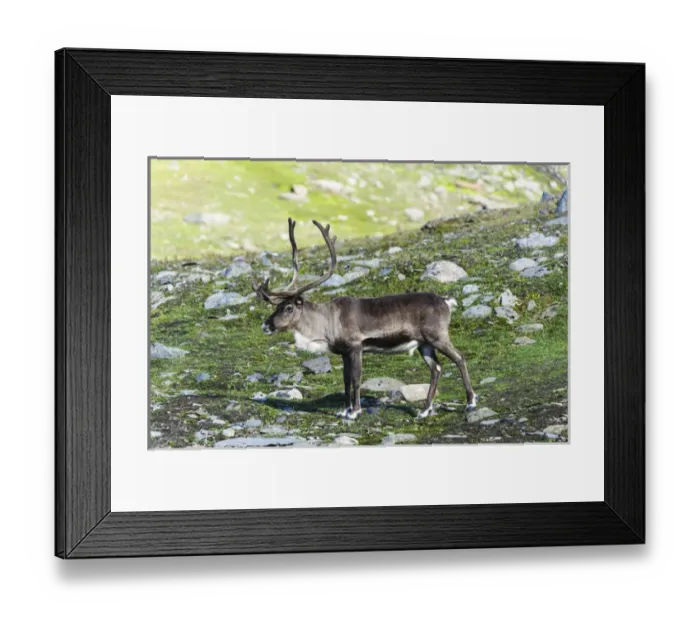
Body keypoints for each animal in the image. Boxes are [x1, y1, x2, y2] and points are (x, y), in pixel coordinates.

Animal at [253, 218, 478, 420]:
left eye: (288, 307)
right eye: (276, 306)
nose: (265, 325)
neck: (326, 323)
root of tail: (446, 302)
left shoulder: (356, 347)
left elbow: (356, 379)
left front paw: (355, 411)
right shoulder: (343, 352)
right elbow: (345, 380)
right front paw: (344, 410)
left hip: (438, 336)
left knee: (459, 358)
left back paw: (470, 403)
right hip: (424, 344)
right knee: (436, 369)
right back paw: (424, 410)